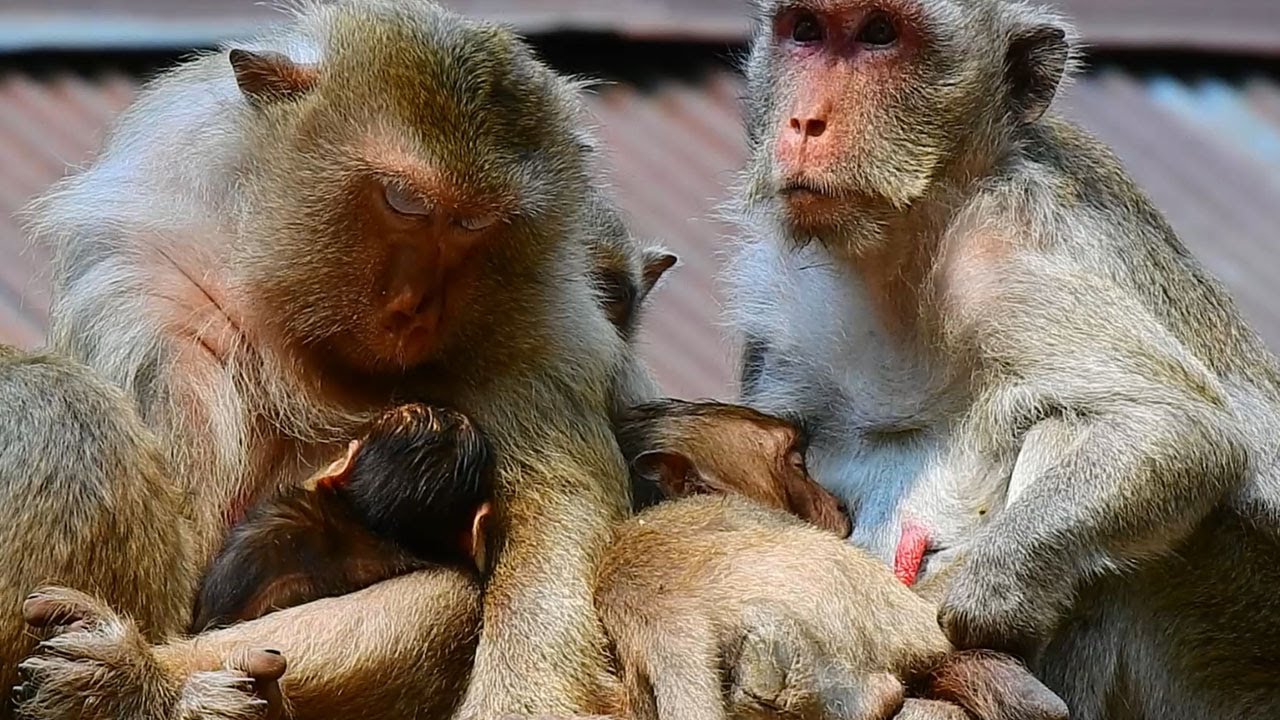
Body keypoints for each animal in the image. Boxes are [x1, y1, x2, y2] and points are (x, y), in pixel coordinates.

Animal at [8, 1, 663, 718]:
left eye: (472, 226)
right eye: (404, 202)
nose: (415, 305)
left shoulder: (541, 350)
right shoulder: (153, 299)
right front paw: (144, 678)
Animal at [724, 0, 1280, 717]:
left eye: (880, 34)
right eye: (807, 32)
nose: (805, 122)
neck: (904, 251)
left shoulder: (1010, 256)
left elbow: (1182, 429)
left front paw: (985, 594)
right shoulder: (778, 314)